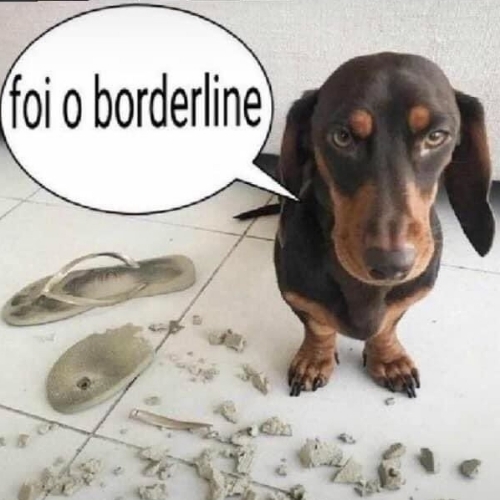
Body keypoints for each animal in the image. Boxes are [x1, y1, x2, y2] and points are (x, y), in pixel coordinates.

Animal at [241, 52, 495, 398]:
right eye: (342, 137)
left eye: (436, 136)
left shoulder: (412, 292)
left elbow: (387, 325)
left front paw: (389, 360)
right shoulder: (297, 293)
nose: (392, 266)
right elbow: (318, 325)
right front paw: (314, 359)